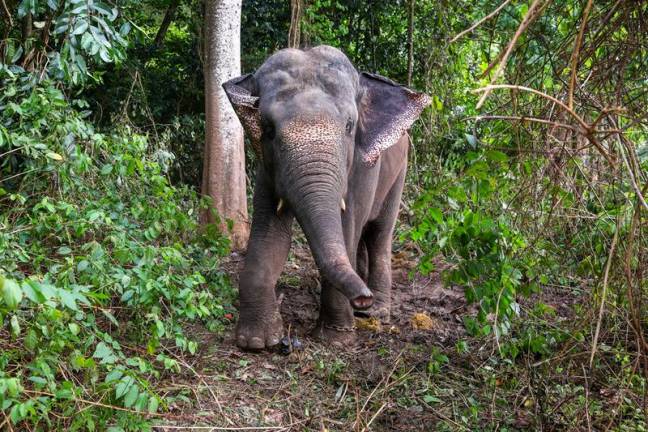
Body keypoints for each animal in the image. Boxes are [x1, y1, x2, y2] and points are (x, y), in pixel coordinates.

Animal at [223, 45, 430, 350]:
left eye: (349, 126)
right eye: (267, 128)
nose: (363, 297)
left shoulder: (363, 166)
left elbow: (346, 227)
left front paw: (336, 339)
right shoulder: (266, 166)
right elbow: (270, 232)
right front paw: (256, 342)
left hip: (400, 171)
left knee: (379, 233)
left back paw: (377, 312)